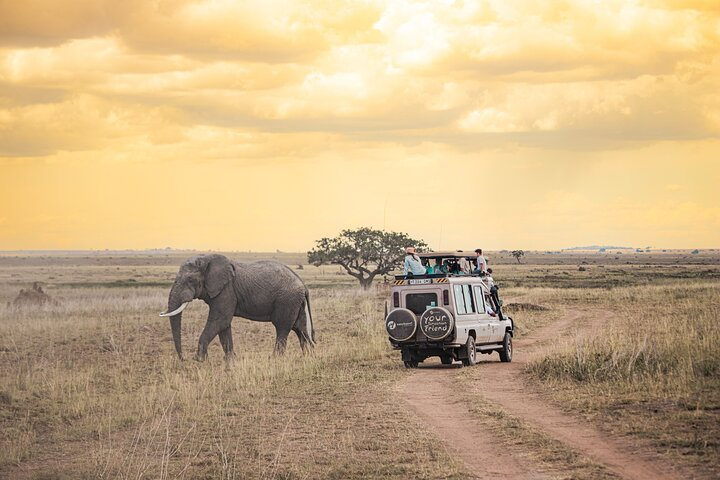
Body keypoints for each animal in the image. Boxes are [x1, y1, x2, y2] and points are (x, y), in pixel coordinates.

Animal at [158, 255, 316, 360]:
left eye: (190, 279)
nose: (183, 359)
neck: (207, 259)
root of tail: (303, 284)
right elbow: (224, 325)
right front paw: (231, 360)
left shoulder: (226, 290)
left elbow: (220, 321)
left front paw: (199, 360)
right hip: (295, 302)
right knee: (300, 328)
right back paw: (308, 357)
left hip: (287, 300)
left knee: (282, 328)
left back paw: (275, 359)